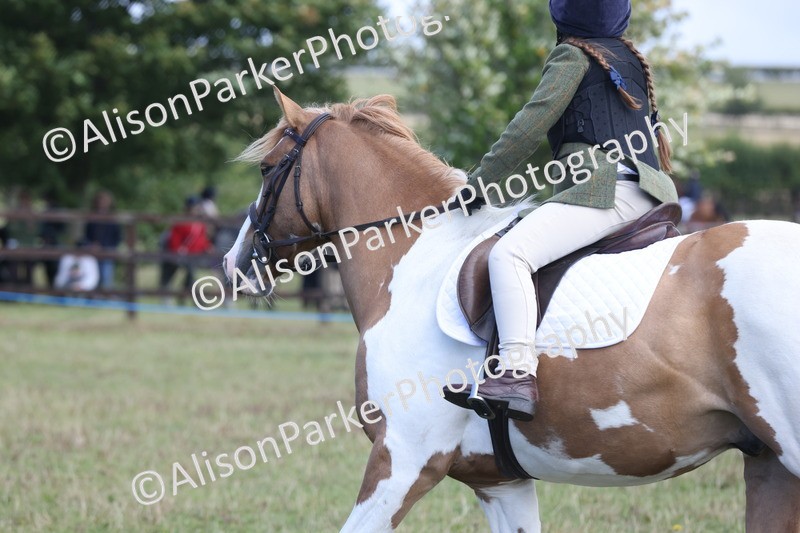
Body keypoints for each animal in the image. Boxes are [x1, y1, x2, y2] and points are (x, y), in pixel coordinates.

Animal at [222, 88, 800, 532]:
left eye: (269, 169)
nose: (233, 263)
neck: (414, 260)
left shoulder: (404, 459)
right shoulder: (501, 482)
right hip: (770, 467)